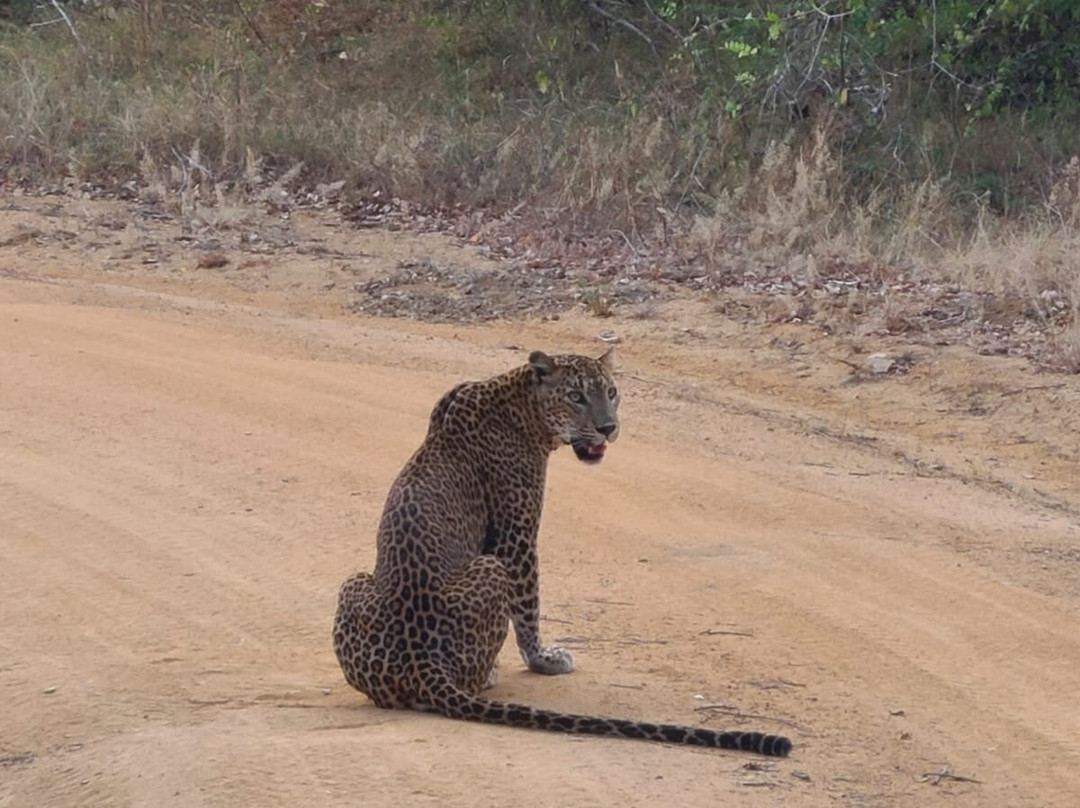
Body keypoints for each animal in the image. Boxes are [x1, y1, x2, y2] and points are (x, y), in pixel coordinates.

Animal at [332, 348, 792, 757]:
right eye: (576, 396)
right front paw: (543, 659)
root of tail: (420, 662)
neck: (522, 405)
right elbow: (528, 606)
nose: (608, 428)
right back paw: (490, 673)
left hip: (353, 581)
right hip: (489, 566)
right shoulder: (515, 536)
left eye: (612, 392)